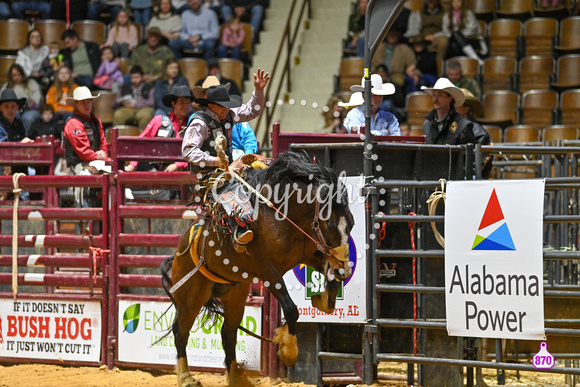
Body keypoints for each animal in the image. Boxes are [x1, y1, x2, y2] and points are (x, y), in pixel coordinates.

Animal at [161, 152, 356, 387]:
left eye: (352, 224)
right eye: (329, 225)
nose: (343, 269)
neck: (282, 217)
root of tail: (178, 252)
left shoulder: (311, 256)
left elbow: (330, 283)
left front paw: (323, 299)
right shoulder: (268, 271)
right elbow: (291, 309)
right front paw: (287, 351)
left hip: (235, 295)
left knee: (228, 333)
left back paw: (235, 378)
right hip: (191, 297)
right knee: (180, 331)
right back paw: (186, 377)